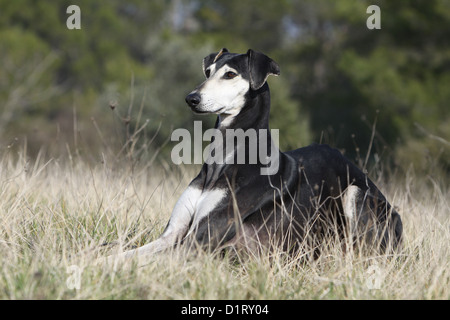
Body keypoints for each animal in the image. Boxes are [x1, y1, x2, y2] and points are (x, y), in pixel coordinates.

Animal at [103, 48, 404, 266]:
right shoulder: (173, 236)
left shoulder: (199, 241)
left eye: (230, 75)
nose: (191, 98)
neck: (225, 155)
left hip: (355, 194)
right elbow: (123, 252)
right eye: (209, 71)